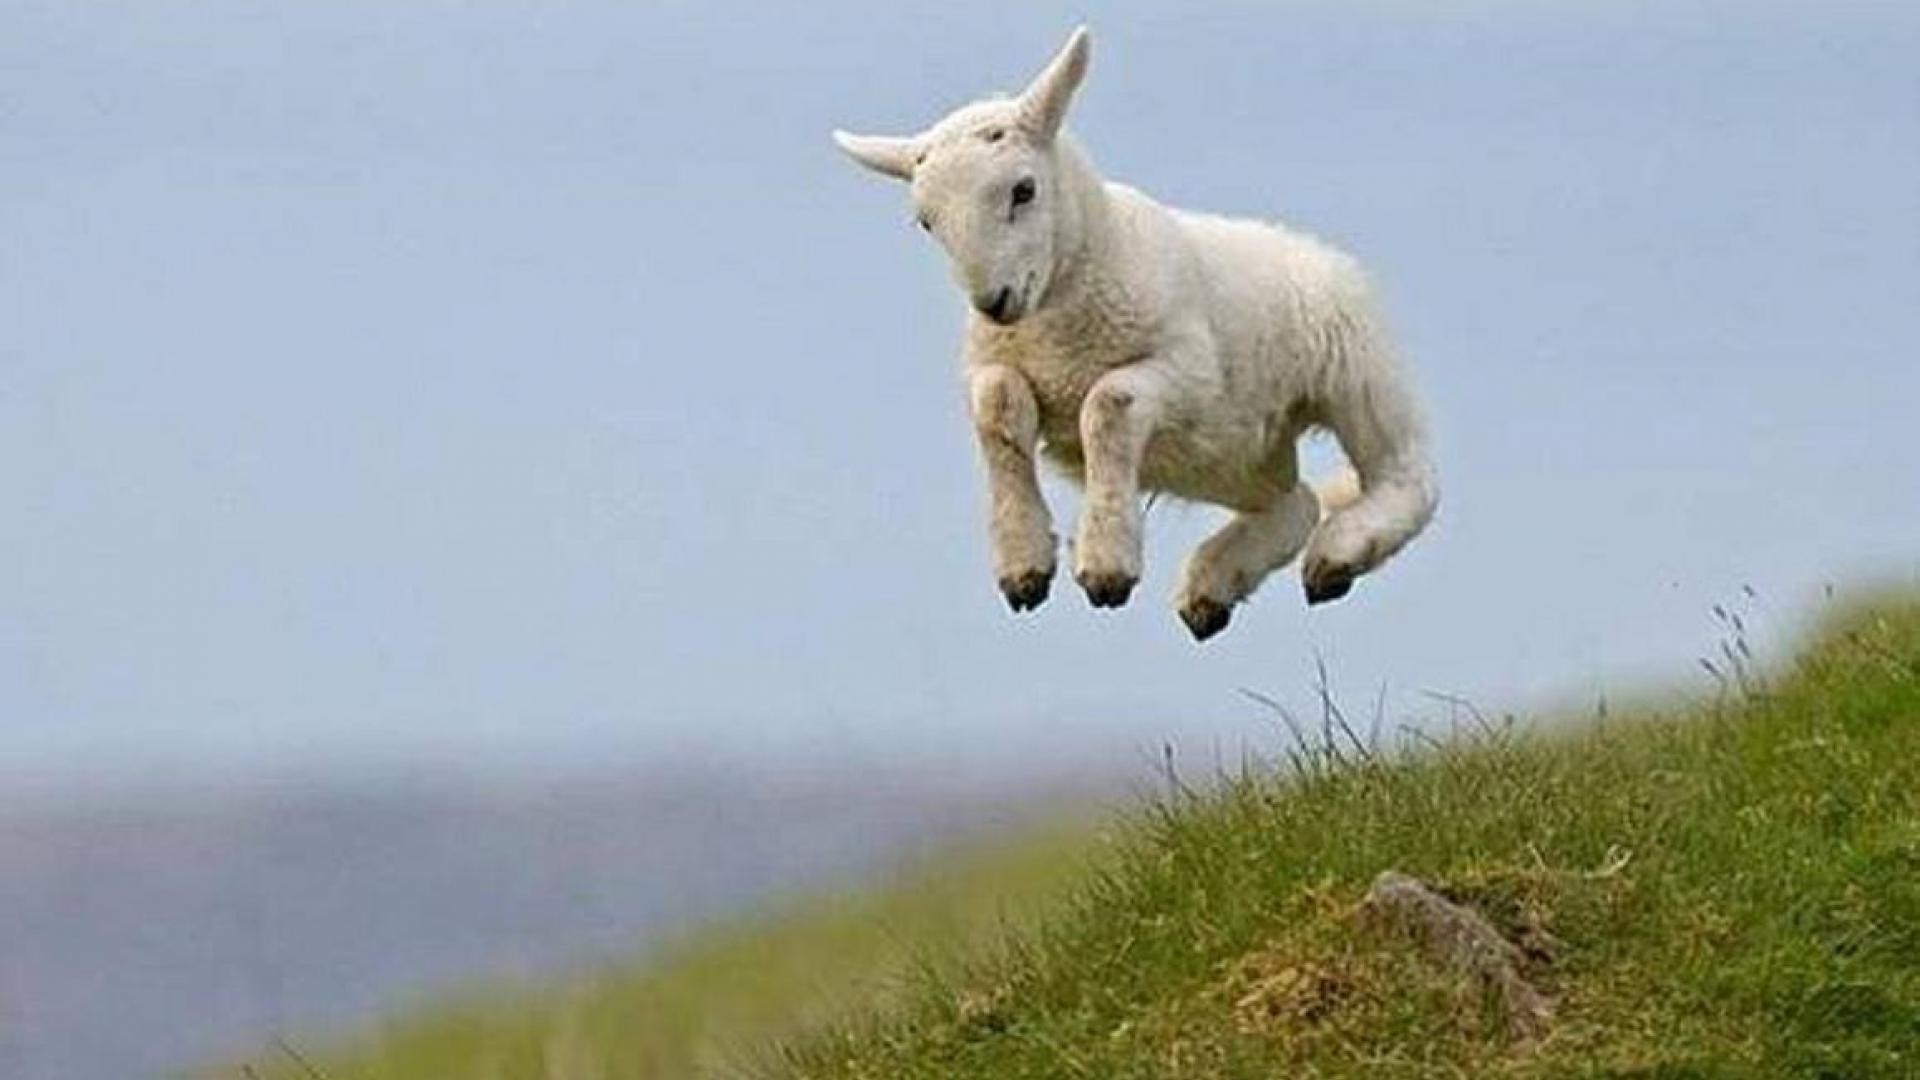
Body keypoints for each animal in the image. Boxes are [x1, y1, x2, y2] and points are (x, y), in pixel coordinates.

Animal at [833, 26, 1438, 641]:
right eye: (926, 221)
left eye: (1024, 190)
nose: (993, 302)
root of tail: (1304, 245)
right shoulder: (993, 364)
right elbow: (998, 407)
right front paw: (1024, 568)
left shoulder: (1190, 372)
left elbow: (1108, 406)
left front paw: (1105, 569)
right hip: (1227, 454)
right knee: (1295, 502)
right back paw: (1213, 589)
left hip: (1351, 366)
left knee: (1407, 476)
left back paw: (1337, 555)